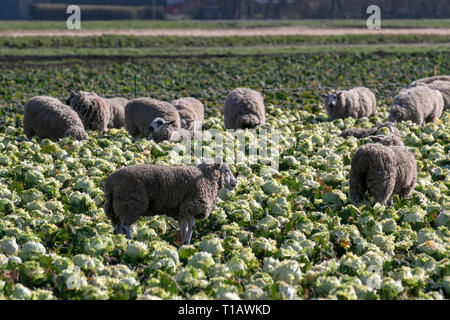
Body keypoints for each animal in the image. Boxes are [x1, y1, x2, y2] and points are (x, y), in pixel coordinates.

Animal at [104, 161, 239, 244]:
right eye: (226, 170)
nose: (236, 183)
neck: (207, 178)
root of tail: (110, 182)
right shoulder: (193, 206)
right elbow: (191, 226)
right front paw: (187, 243)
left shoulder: (182, 211)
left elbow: (184, 227)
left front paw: (184, 243)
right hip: (130, 206)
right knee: (125, 226)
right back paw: (129, 240)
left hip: (116, 208)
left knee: (118, 227)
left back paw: (119, 242)